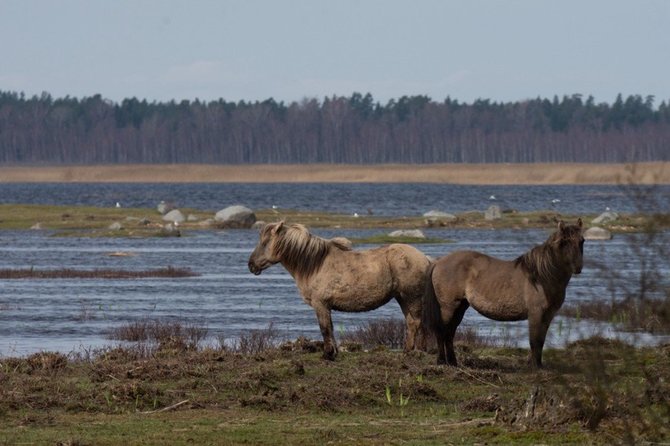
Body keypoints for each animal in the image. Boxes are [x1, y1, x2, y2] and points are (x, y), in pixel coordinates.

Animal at [249, 221, 434, 360]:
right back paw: (412, 350)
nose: (251, 265)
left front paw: (327, 354)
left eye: (265, 243)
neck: (315, 264)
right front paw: (334, 352)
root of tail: (425, 258)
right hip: (403, 298)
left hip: (412, 298)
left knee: (416, 323)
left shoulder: (320, 304)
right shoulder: (326, 306)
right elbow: (330, 328)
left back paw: (414, 351)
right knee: (412, 323)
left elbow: (324, 328)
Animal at [426, 220, 588, 370]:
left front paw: (538, 365)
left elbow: (541, 341)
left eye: (582, 240)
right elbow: (534, 341)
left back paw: (453, 362)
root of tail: (439, 262)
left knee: (450, 333)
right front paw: (535, 367)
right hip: (448, 307)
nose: (578, 267)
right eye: (564, 242)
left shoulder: (548, 315)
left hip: (460, 307)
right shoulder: (536, 313)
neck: (542, 277)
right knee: (442, 331)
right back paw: (442, 361)